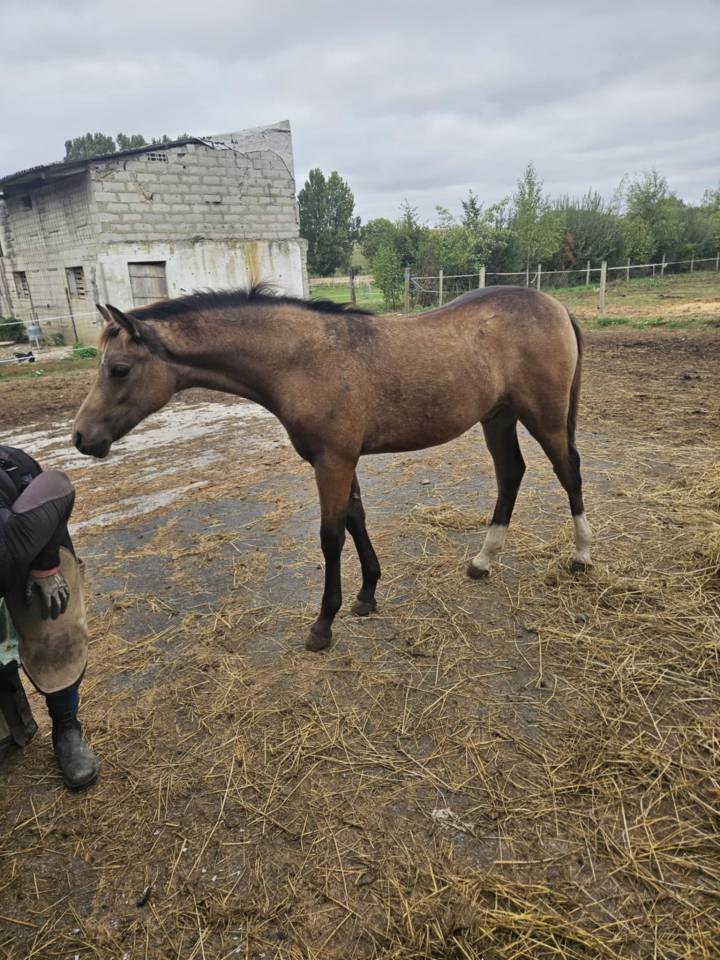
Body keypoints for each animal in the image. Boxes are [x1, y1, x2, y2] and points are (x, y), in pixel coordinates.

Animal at [72, 285, 591, 651]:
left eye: (119, 369)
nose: (81, 437)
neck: (305, 359)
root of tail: (556, 306)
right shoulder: (344, 460)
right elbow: (356, 519)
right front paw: (367, 596)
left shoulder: (333, 461)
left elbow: (331, 535)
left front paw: (324, 624)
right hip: (497, 417)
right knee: (511, 474)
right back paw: (483, 561)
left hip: (544, 417)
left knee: (569, 471)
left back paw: (582, 556)